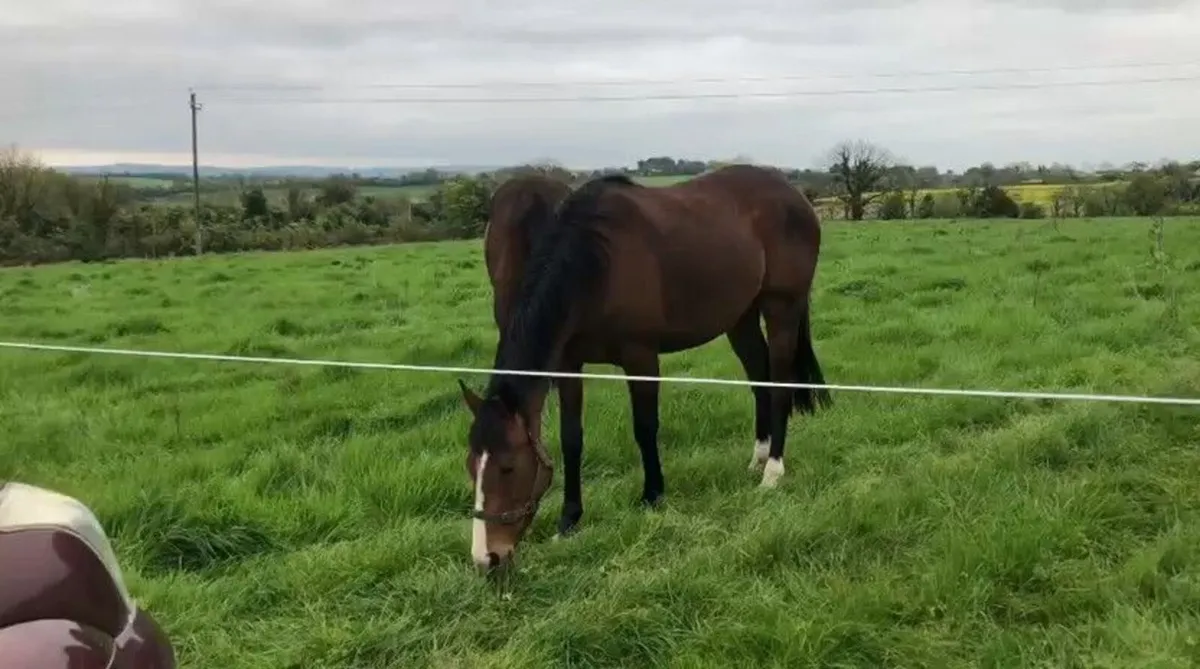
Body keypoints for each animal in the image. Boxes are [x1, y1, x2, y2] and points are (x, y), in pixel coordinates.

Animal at [458, 164, 833, 571]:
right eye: (471, 466)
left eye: (508, 467)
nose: (486, 558)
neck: (596, 264)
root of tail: (793, 194)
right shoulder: (569, 364)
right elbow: (572, 438)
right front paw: (569, 520)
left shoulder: (640, 357)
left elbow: (645, 427)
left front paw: (653, 495)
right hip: (741, 318)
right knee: (759, 379)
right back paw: (758, 457)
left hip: (782, 309)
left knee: (779, 385)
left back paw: (773, 471)